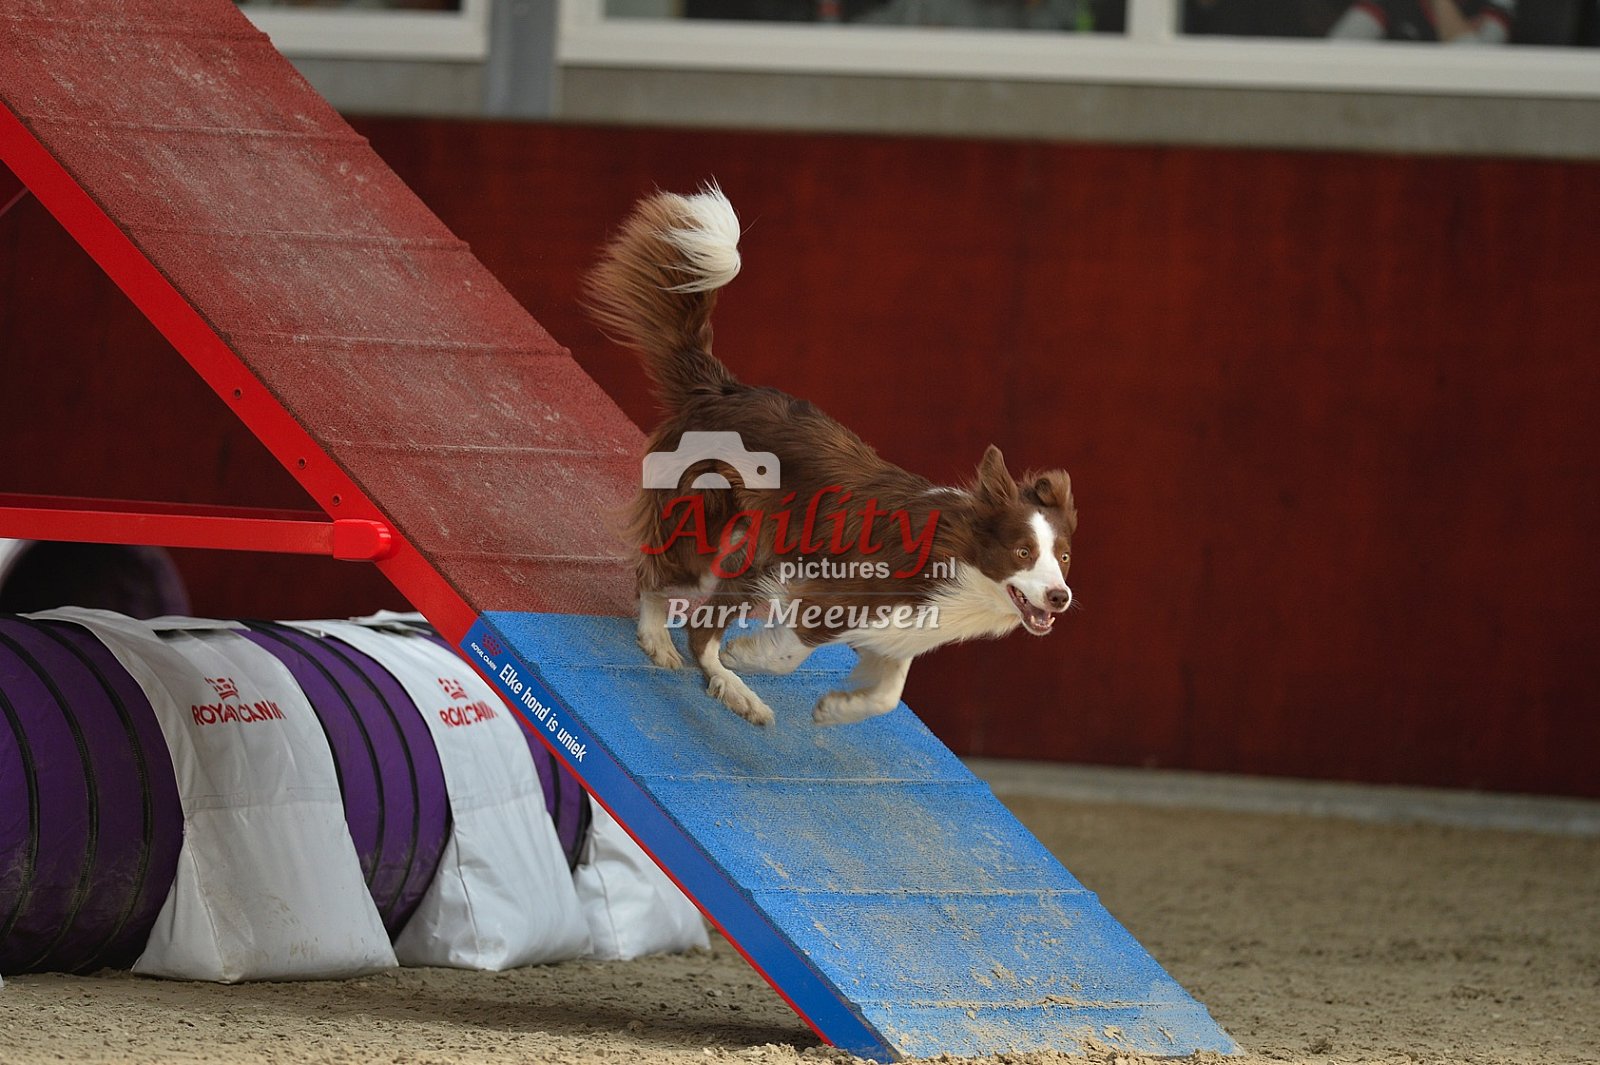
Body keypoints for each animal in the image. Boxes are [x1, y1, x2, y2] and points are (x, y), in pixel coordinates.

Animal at [586, 184, 1076, 727]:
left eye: (1064, 557)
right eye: (1023, 552)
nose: (1061, 597)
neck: (955, 555)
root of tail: (721, 390)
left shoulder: (899, 627)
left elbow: (889, 693)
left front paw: (838, 709)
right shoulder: (825, 589)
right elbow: (792, 649)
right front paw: (749, 654)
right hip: (715, 528)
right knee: (671, 592)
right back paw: (706, 667)